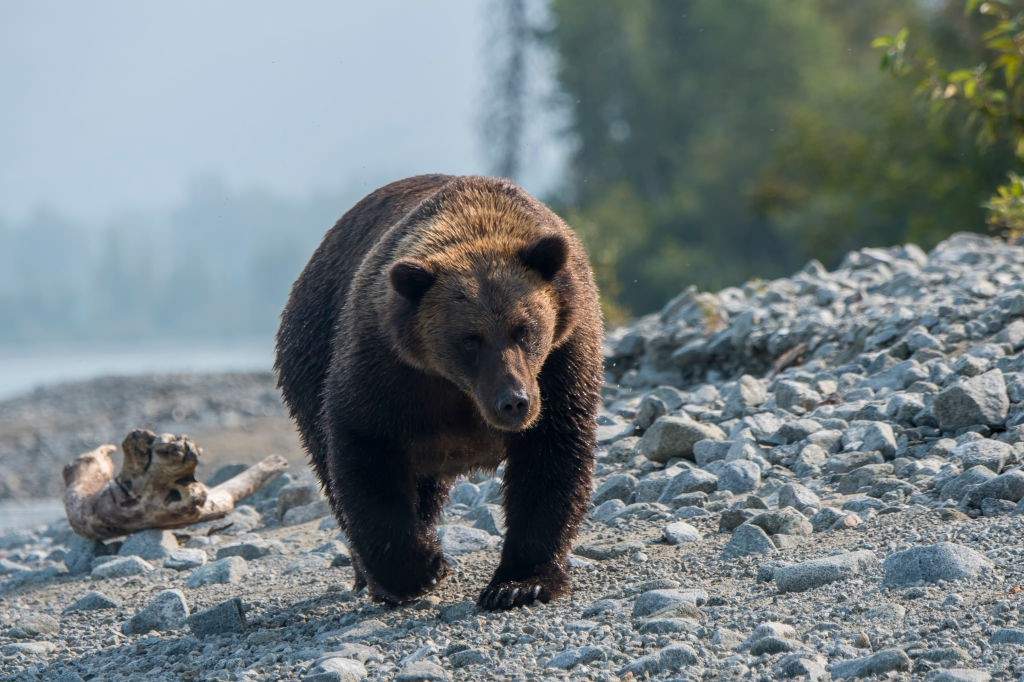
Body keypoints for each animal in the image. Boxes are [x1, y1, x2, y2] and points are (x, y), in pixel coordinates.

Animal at [275, 174, 603, 609]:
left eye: (524, 329)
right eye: (470, 339)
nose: (514, 402)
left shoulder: (561, 356)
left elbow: (552, 453)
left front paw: (519, 583)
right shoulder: (387, 364)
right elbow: (366, 450)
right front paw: (418, 569)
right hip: (310, 351)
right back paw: (371, 574)